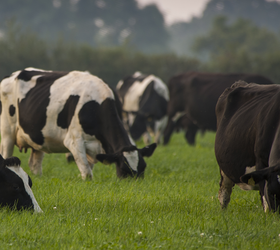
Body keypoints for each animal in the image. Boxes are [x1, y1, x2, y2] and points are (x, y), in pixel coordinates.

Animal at [0, 68, 156, 181]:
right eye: (124, 169)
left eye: (143, 167)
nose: (136, 183)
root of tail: (13, 74)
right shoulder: (74, 141)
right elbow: (87, 174)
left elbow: (88, 169)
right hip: (7, 133)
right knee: (6, 154)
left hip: (36, 137)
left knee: (34, 164)